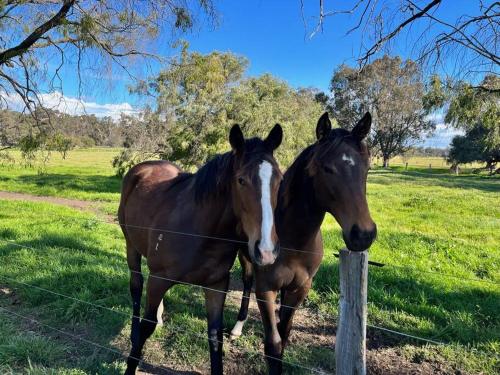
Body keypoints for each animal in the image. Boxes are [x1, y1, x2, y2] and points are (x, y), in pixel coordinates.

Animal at [116, 122, 282, 374]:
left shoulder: (216, 285)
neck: (201, 231)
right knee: (136, 288)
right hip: (131, 247)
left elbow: (215, 337)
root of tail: (142, 167)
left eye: (279, 179)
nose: (266, 250)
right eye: (241, 180)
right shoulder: (159, 279)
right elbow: (146, 326)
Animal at [229, 113, 376, 374]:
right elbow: (273, 345)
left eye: (367, 168)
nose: (363, 234)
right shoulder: (266, 289)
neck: (294, 241)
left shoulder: (300, 289)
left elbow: (284, 334)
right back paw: (237, 327)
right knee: (246, 281)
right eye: (327, 168)